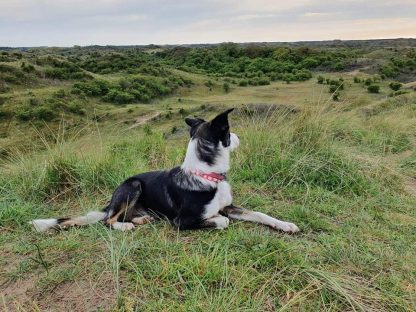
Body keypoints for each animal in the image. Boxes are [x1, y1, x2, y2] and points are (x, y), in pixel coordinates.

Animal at [31, 109, 300, 234]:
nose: (238, 137)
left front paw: (285, 224)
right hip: (132, 186)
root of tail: (109, 202)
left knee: (125, 215)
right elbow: (220, 220)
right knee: (108, 220)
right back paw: (124, 226)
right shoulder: (182, 221)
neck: (208, 176)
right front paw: (217, 221)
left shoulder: (230, 206)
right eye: (227, 132)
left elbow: (260, 214)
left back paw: (140, 218)